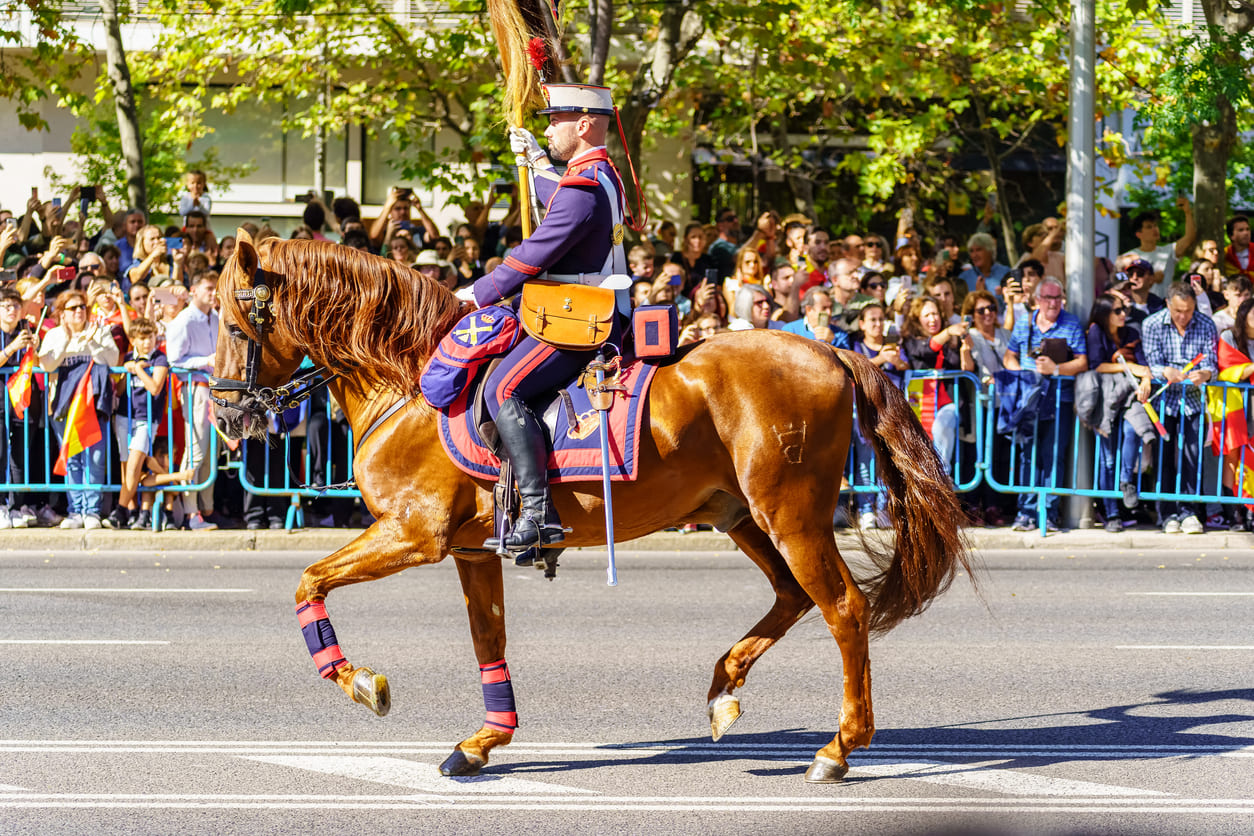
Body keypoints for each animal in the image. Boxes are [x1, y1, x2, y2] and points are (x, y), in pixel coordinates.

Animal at [210, 229, 968, 787]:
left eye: (234, 324)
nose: (222, 414)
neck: (412, 383)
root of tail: (833, 352)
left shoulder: (412, 534)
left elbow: (308, 582)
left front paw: (360, 682)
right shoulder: (469, 551)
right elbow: (489, 639)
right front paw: (484, 740)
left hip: (791, 514)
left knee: (842, 607)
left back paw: (838, 748)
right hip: (740, 514)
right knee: (793, 596)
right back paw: (725, 688)